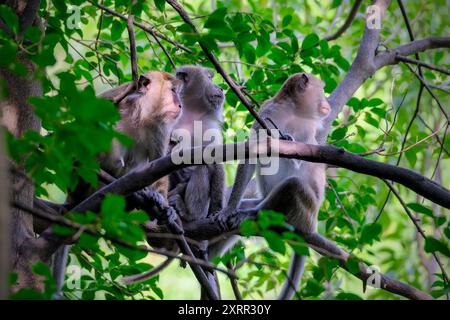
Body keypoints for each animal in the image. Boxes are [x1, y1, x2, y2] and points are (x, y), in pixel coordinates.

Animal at [211, 72, 330, 300]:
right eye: (321, 89)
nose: (326, 102)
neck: (293, 111)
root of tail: (312, 225)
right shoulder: (267, 113)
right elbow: (252, 153)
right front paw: (228, 209)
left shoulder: (309, 130)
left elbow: (305, 161)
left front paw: (288, 141)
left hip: (305, 211)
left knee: (293, 185)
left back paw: (250, 215)